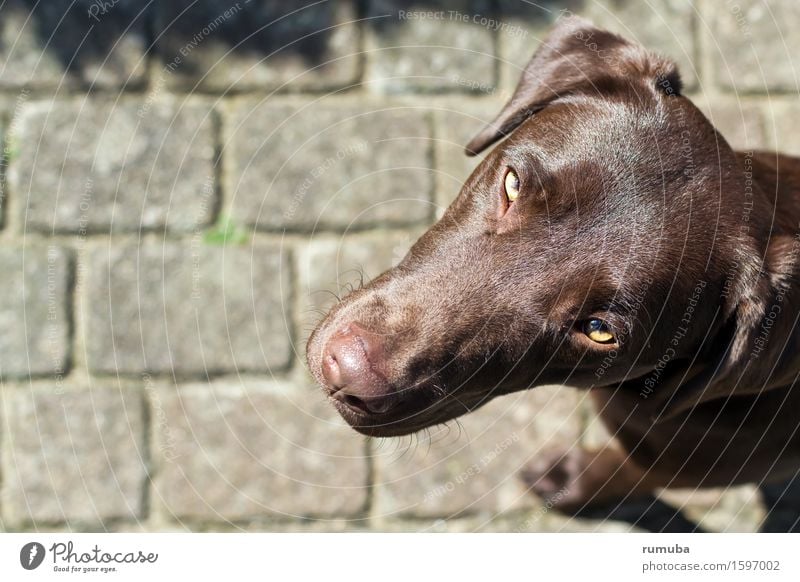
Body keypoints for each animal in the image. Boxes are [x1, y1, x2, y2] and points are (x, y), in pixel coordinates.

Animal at [306, 18, 800, 516]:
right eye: (511, 184)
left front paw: (571, 483)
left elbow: (627, 472)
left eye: (599, 330)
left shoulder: (691, 465)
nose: (343, 372)